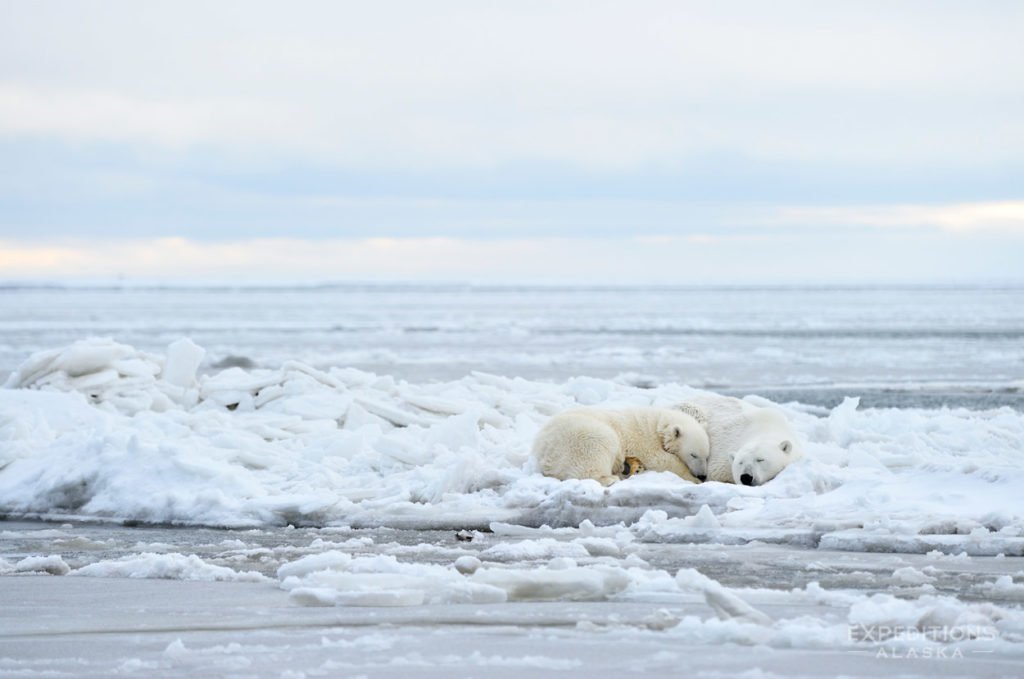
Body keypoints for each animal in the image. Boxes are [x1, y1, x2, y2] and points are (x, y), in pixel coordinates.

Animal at [532, 405, 708, 485]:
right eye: (693, 454)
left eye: (706, 456)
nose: (702, 475)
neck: (657, 426)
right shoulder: (643, 441)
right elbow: (661, 459)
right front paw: (693, 479)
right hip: (582, 436)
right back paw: (611, 478)